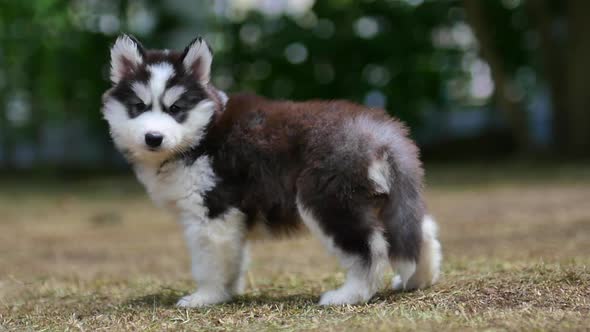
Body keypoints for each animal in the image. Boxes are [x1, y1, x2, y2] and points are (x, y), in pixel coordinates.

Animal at [103, 35, 444, 308]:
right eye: (138, 107)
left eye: (175, 109)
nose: (153, 138)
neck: (201, 133)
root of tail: (380, 130)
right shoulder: (229, 220)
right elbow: (233, 260)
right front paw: (225, 294)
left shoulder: (212, 213)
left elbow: (208, 262)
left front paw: (204, 297)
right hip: (383, 200)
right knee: (421, 232)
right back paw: (417, 280)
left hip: (328, 201)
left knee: (369, 249)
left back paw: (347, 295)